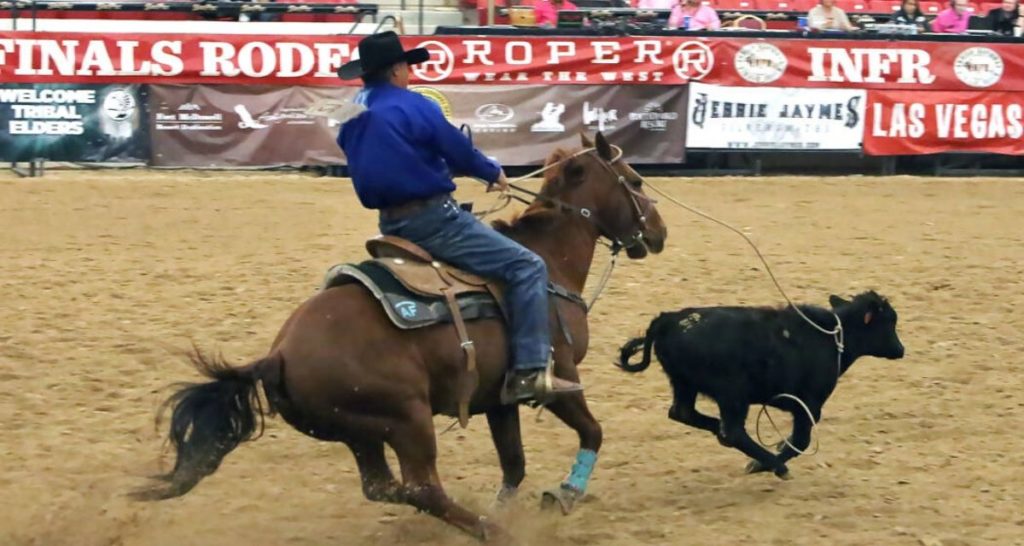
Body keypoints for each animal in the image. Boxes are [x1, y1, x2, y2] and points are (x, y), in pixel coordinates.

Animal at [140, 132, 667, 540]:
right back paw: (491, 531)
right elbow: (592, 432)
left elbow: (513, 463)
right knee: (421, 486)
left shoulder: (500, 398)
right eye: (636, 181)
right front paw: (565, 494)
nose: (659, 233)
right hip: (407, 420)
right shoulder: (559, 377)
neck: (549, 260)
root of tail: (279, 356)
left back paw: (481, 523)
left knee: (384, 487)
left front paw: (510, 504)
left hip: (360, 431)